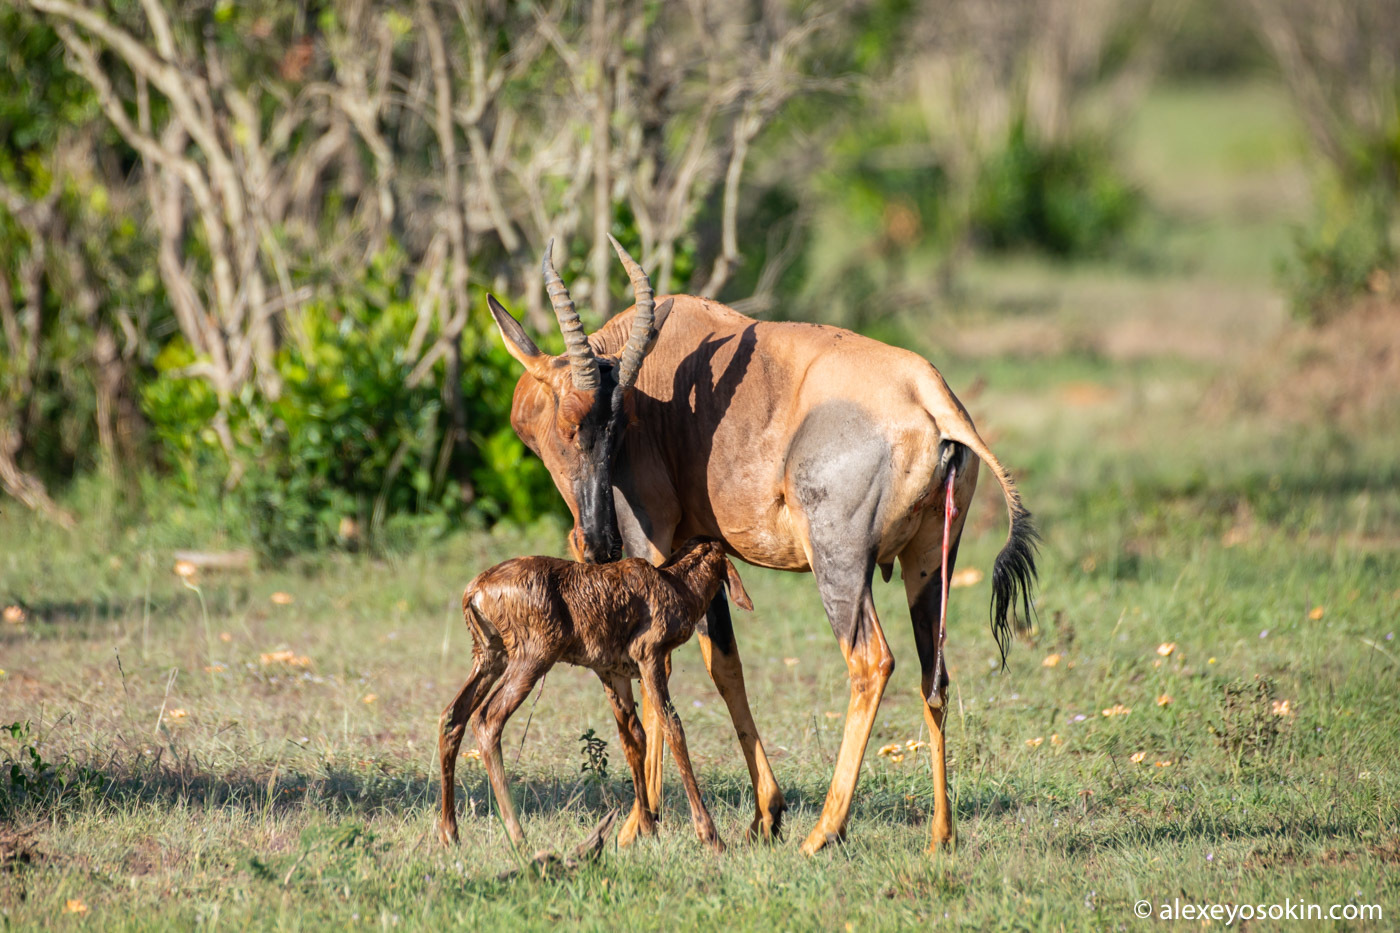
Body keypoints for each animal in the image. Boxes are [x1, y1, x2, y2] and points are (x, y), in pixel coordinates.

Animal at [436, 537, 750, 851]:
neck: (679, 588)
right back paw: (518, 837)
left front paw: (647, 831)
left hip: (489, 654)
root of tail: (475, 591)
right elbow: (672, 727)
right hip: (533, 653)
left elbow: (634, 737)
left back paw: (450, 834)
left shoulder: (613, 672)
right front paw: (711, 837)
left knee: (452, 716)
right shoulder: (649, 655)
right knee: (487, 718)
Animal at [487, 239, 1036, 851]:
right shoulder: (701, 550)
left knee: (871, 662)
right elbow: (725, 666)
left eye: (612, 425)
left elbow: (659, 674)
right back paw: (940, 836)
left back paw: (822, 834)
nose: (598, 541)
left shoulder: (652, 545)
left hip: (839, 563)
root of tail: (932, 394)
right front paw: (765, 813)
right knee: (933, 674)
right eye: (577, 423)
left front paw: (636, 827)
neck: (669, 377)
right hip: (931, 564)